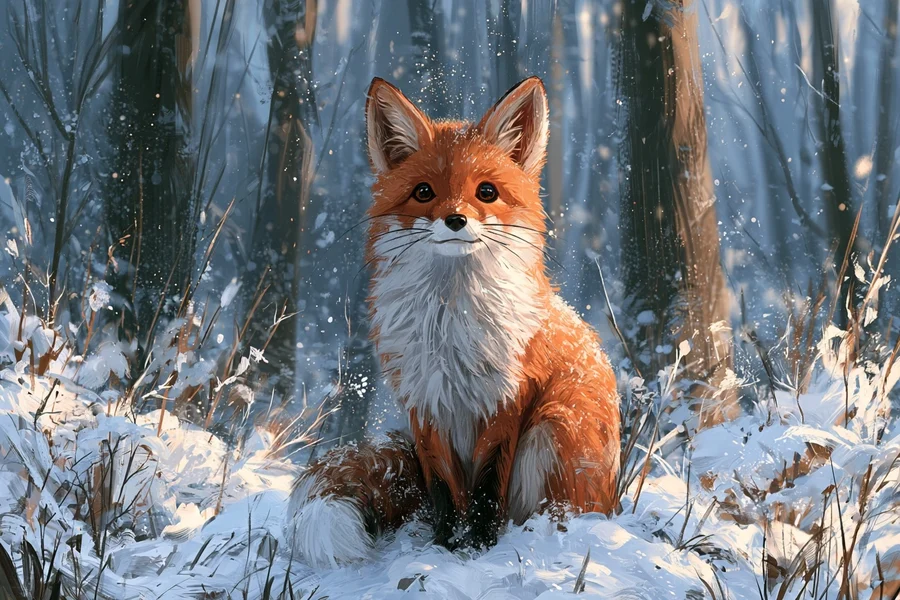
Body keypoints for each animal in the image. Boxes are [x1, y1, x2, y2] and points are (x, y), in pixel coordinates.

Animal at [286, 76, 620, 568]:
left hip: (554, 429)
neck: (450, 322)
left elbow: (486, 493)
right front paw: (441, 548)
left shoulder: (505, 403)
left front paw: (479, 550)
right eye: (424, 192)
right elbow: (444, 491)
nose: (456, 220)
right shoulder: (426, 405)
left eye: (486, 192)